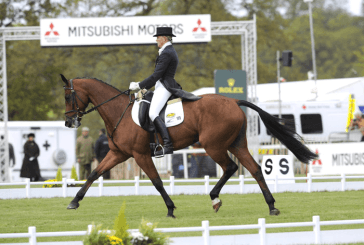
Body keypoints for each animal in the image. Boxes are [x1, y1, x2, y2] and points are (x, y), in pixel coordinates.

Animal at [61, 75, 318, 218]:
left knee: (231, 168)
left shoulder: (140, 155)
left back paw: (215, 198)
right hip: (236, 144)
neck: (119, 113)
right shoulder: (118, 154)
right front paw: (74, 202)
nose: (68, 122)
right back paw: (271, 206)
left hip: (213, 145)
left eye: (67, 97)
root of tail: (234, 101)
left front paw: (170, 209)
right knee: (254, 169)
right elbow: (94, 173)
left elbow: (156, 182)